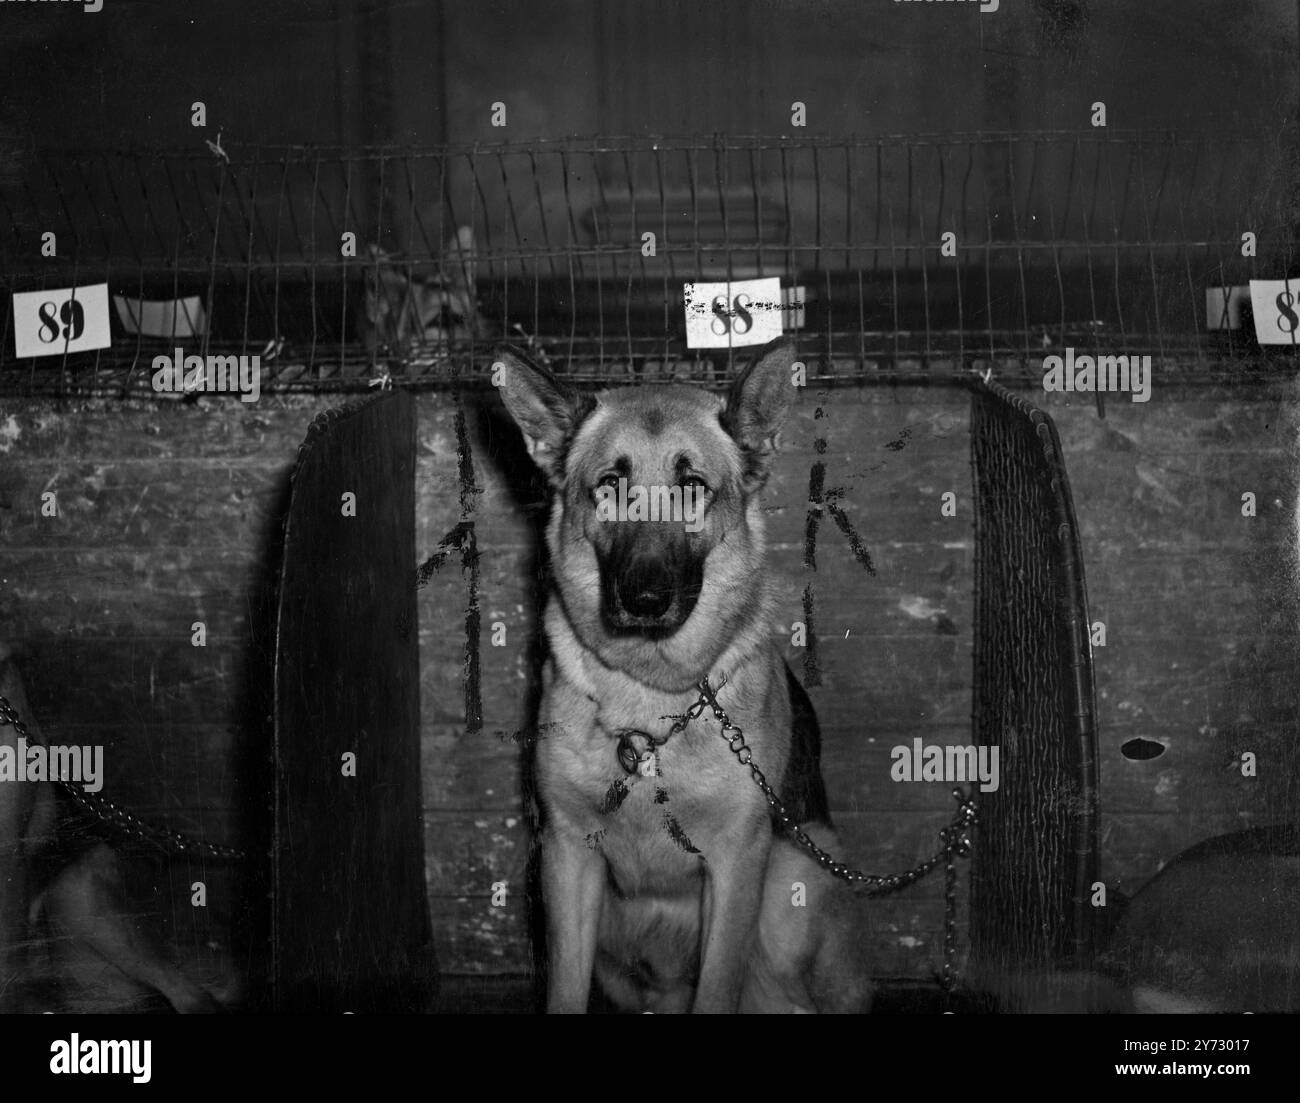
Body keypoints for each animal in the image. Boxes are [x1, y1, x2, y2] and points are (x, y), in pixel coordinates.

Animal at [496, 338, 873, 1014]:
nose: (644, 600)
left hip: (795, 879)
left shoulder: (737, 867)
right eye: (611, 484)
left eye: (693, 486)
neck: (648, 699)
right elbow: (564, 990)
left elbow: (718, 990)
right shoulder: (567, 858)